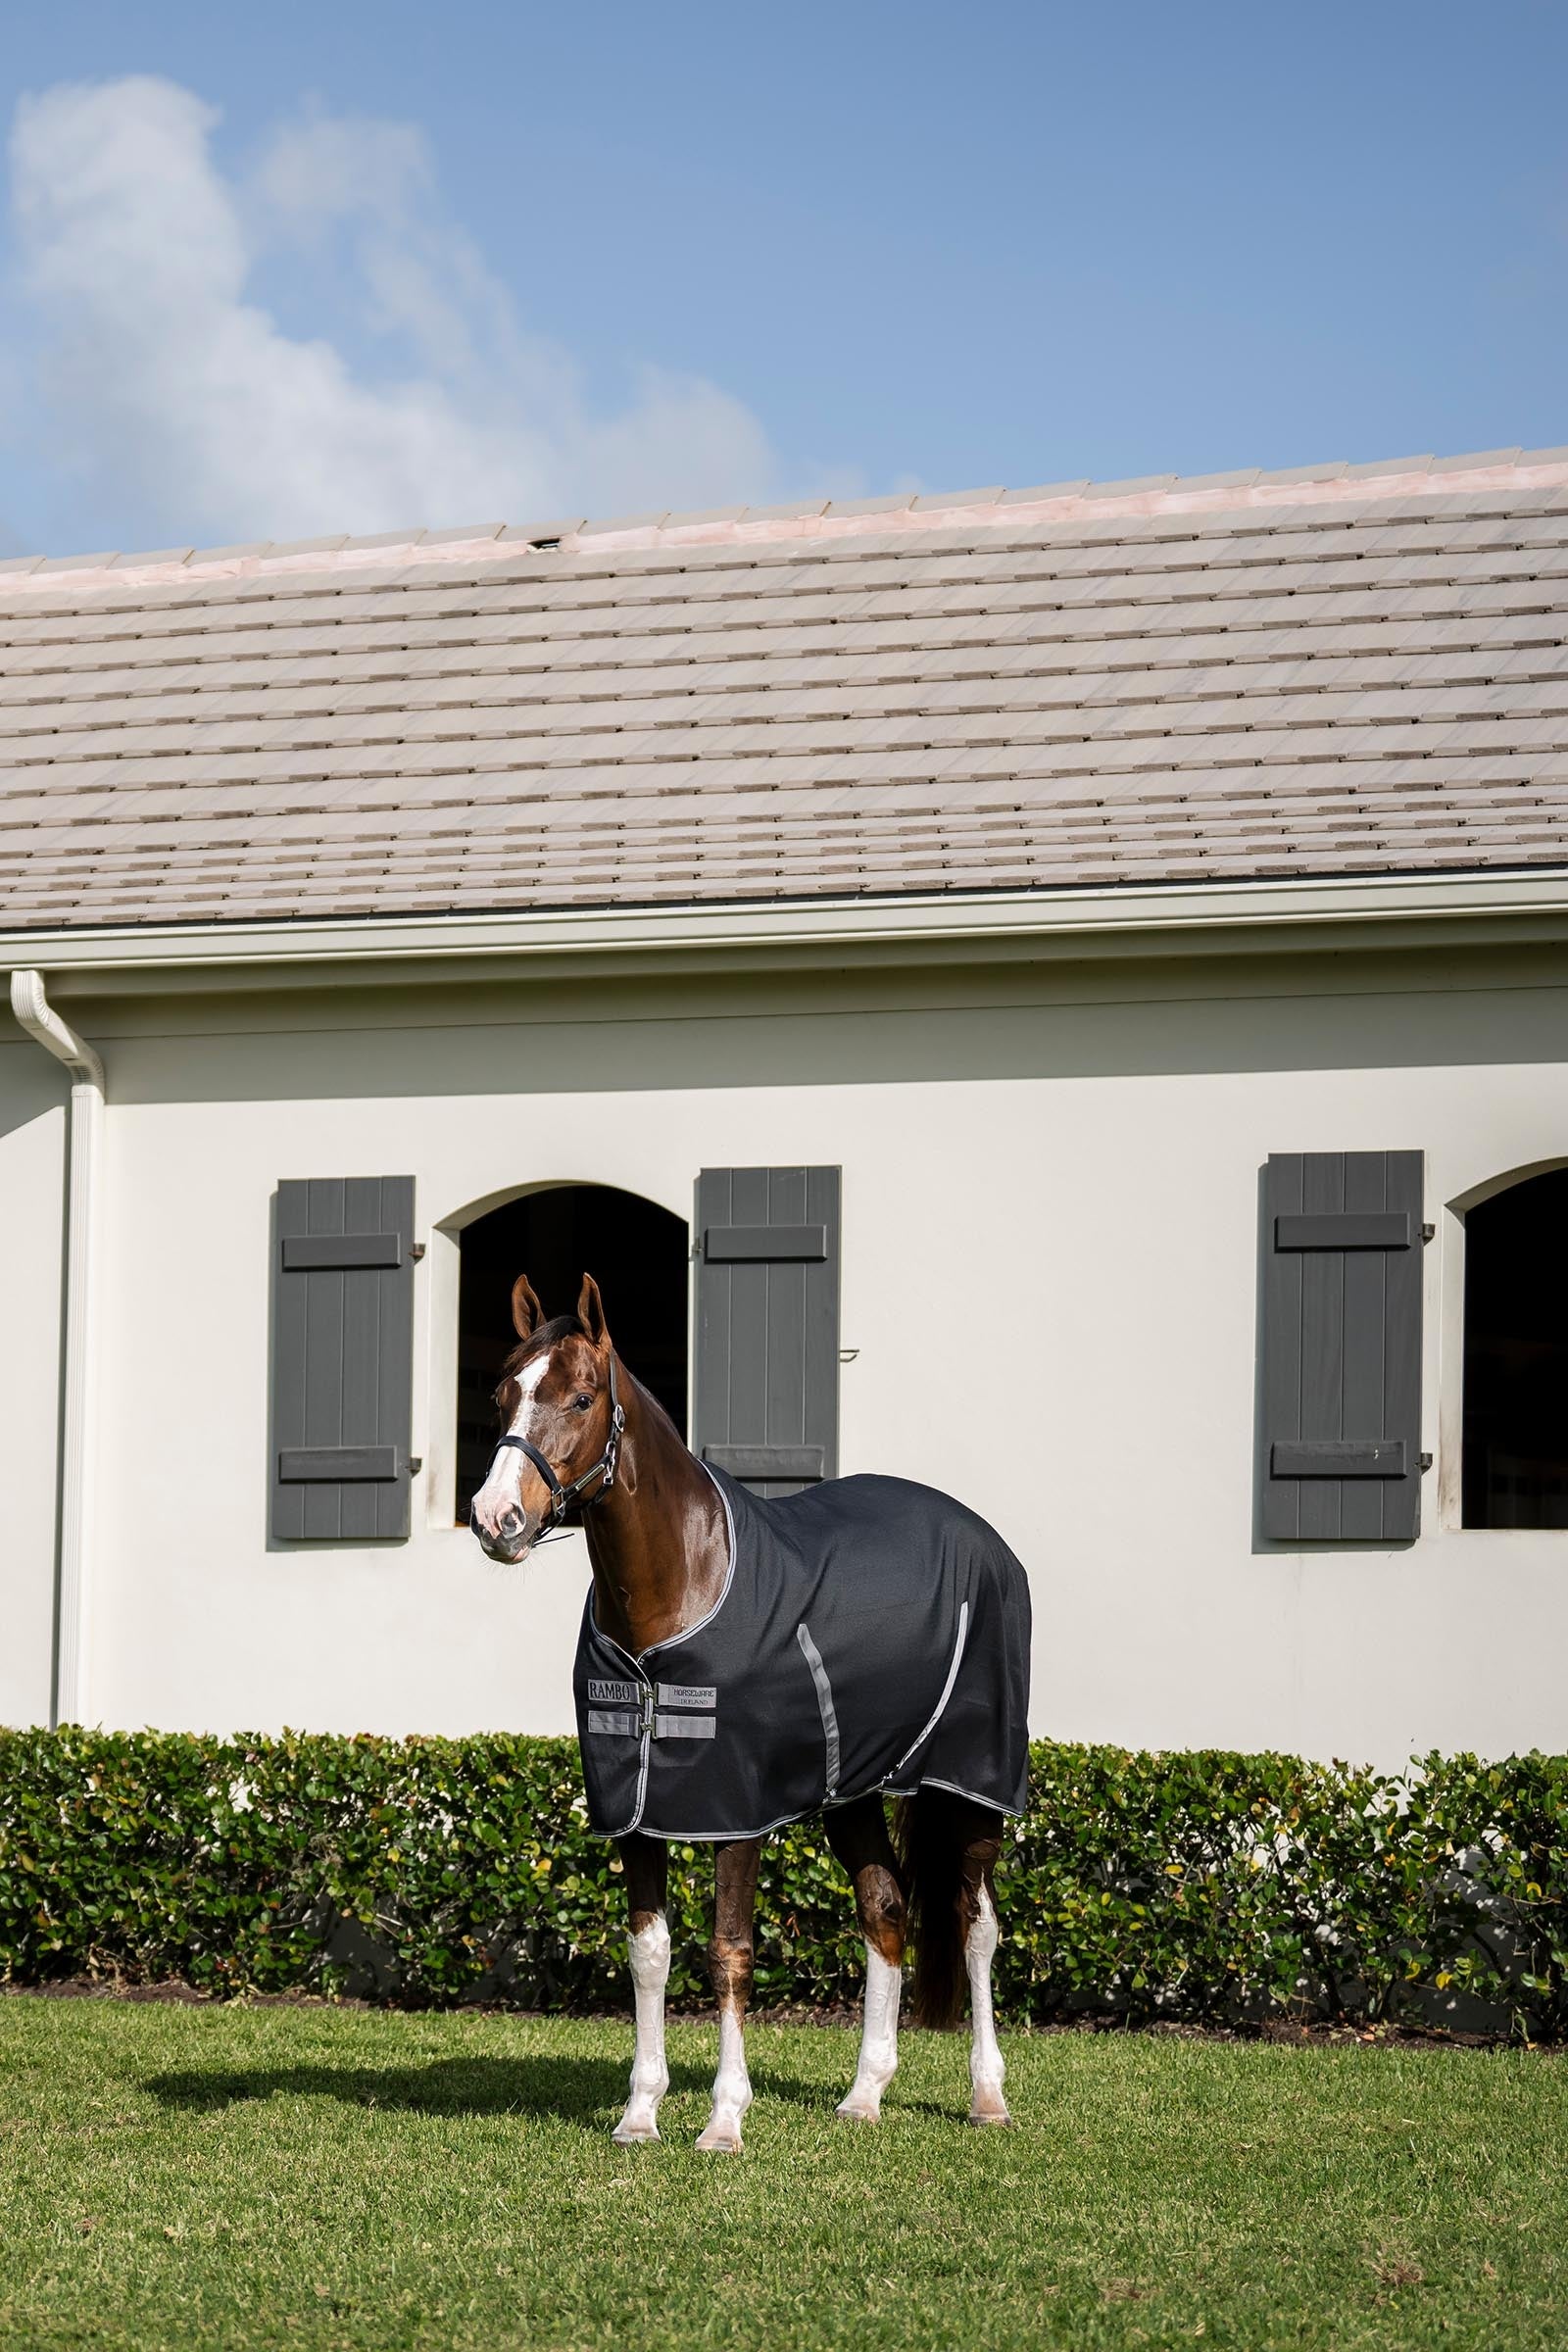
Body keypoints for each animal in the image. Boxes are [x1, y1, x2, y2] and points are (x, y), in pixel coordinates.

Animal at [469, 1271, 1031, 2152]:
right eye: (502, 1395)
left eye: (583, 1396)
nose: (497, 1519)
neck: (682, 1584)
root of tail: (988, 1543)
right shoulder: (638, 1812)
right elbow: (650, 1953)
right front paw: (640, 2113)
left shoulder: (736, 1813)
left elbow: (729, 1950)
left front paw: (725, 2119)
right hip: (853, 1792)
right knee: (886, 1910)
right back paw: (864, 2095)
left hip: (969, 1787)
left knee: (975, 1923)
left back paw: (987, 2096)